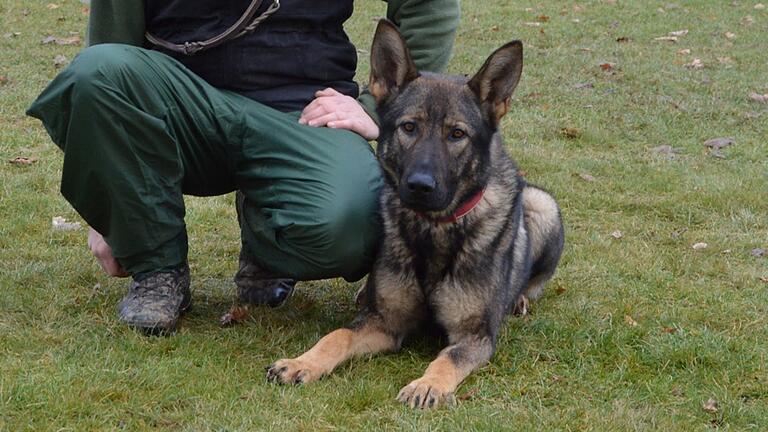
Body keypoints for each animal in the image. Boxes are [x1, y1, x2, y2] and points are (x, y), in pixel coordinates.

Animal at [266, 20, 564, 410]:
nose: (420, 185)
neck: (431, 230)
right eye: (409, 127)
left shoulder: (475, 336)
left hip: (541, 204)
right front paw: (303, 362)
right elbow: (338, 335)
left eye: (456, 134)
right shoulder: (384, 323)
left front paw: (428, 384)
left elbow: (447, 358)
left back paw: (521, 298)